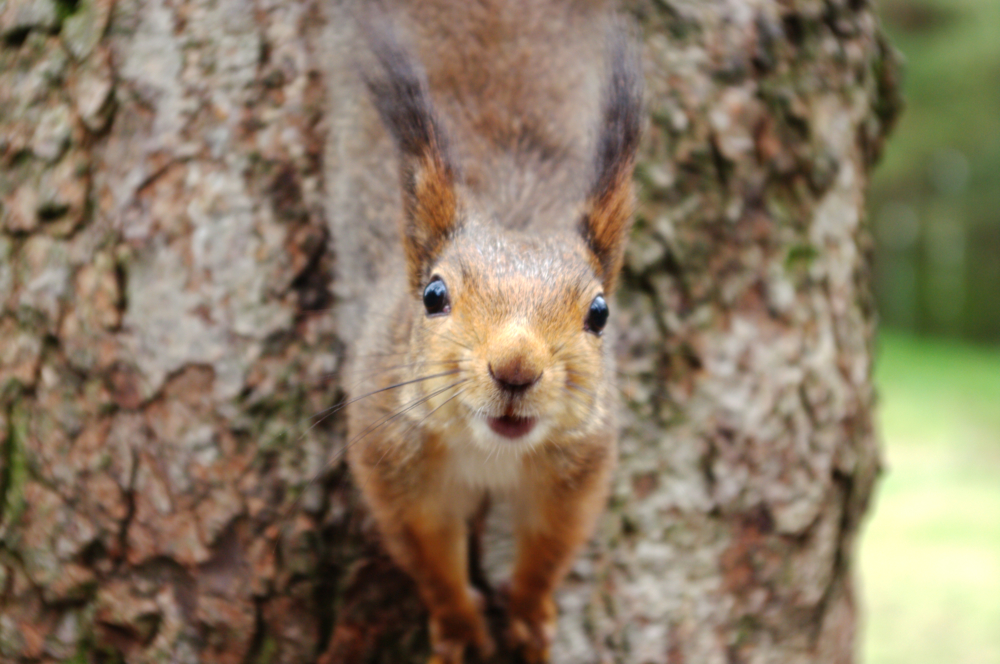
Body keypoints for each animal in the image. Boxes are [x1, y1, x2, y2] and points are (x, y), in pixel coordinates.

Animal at [340, 2, 644, 660]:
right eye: (434, 296)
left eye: (600, 313)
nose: (516, 369)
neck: (489, 453)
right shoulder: (393, 464)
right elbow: (431, 559)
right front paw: (458, 627)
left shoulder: (577, 472)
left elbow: (548, 550)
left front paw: (529, 616)